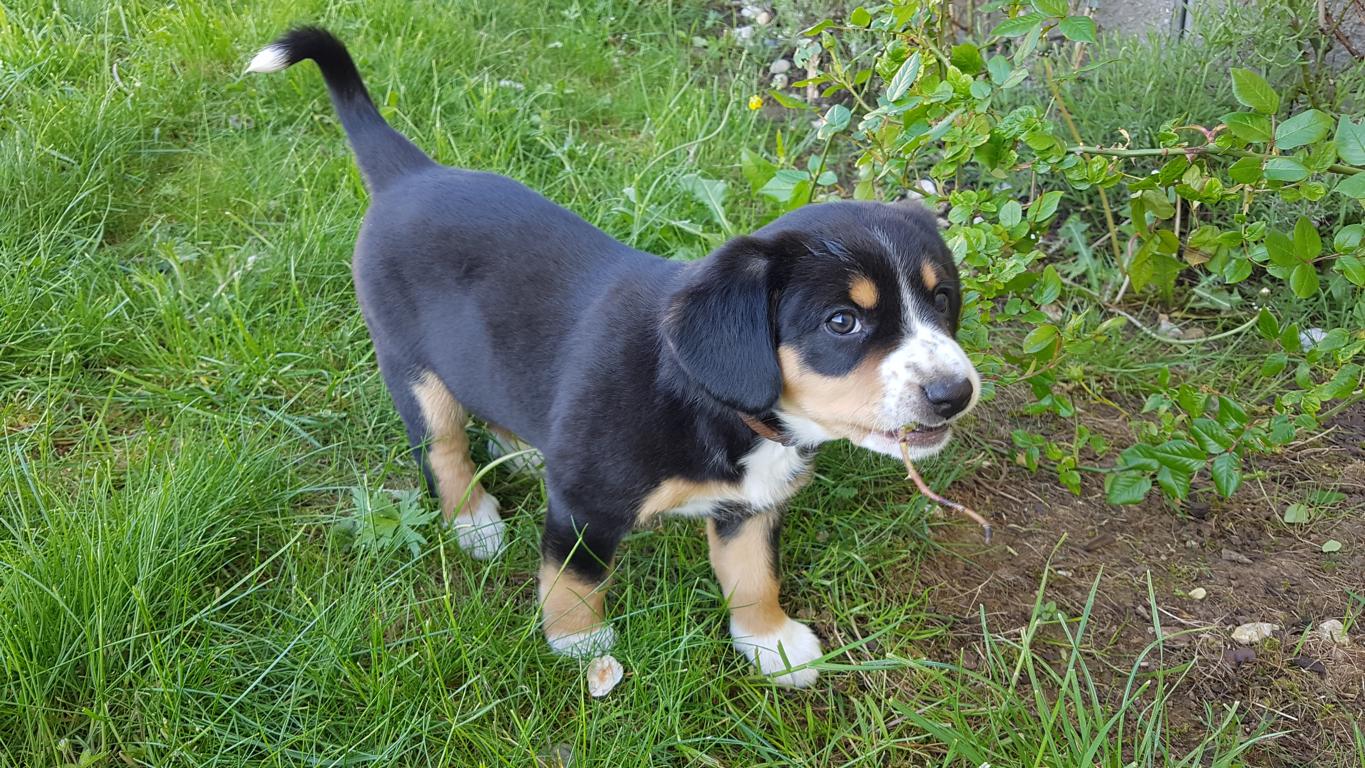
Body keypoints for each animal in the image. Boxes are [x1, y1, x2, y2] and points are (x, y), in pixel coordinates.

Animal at [247, 27, 979, 687]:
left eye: (941, 299)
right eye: (842, 322)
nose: (955, 392)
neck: (714, 404)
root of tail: (412, 175)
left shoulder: (749, 506)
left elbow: (752, 575)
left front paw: (770, 641)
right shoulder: (585, 502)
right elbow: (573, 574)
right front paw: (578, 643)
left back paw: (521, 448)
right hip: (411, 366)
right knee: (443, 445)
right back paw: (474, 520)